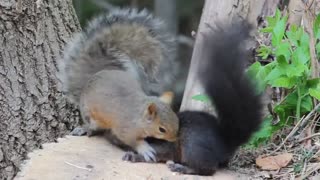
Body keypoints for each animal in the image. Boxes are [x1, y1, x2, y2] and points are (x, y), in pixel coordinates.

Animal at [122, 20, 262, 176]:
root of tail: (225, 144)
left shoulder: (166, 144)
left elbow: (158, 152)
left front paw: (134, 156)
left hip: (192, 146)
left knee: (208, 169)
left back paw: (183, 168)